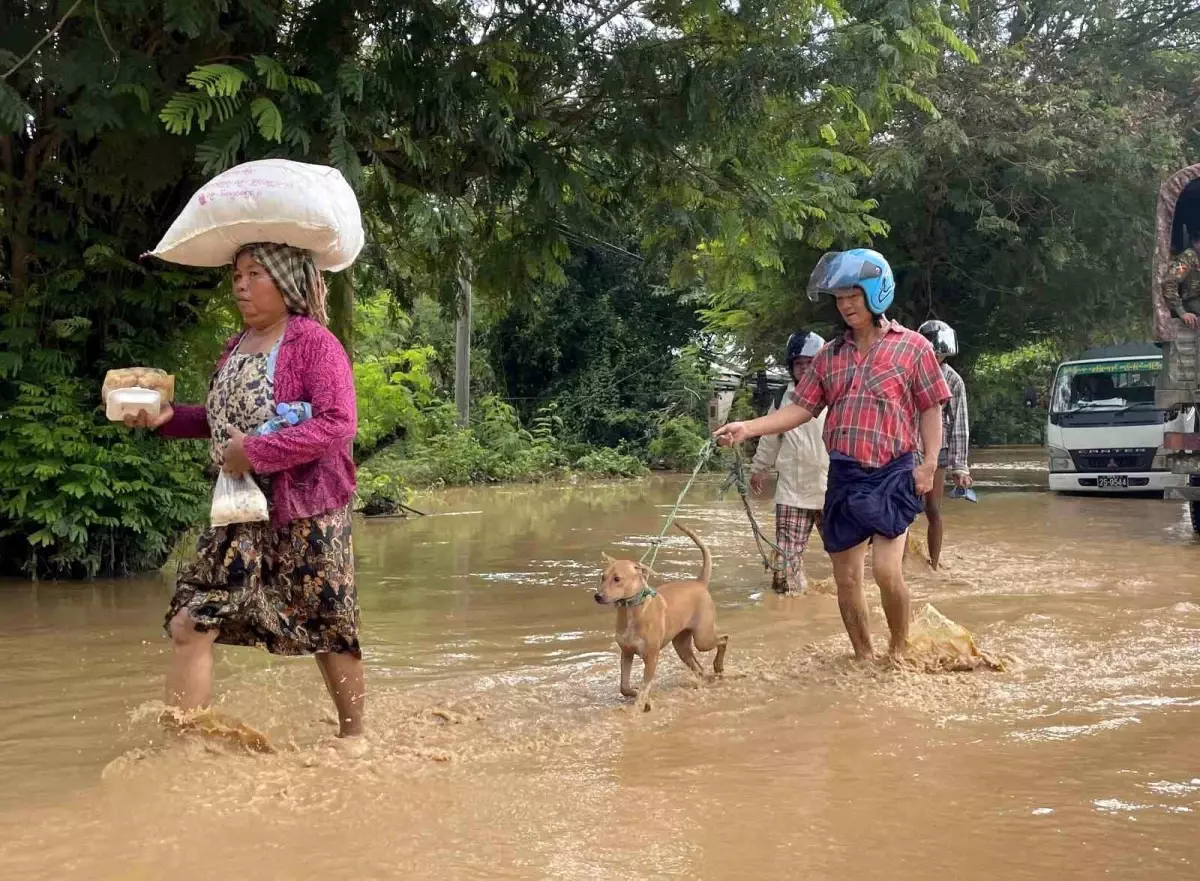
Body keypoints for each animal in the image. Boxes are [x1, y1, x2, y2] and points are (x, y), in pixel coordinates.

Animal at [592, 523, 724, 710]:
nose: (597, 596)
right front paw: (638, 694)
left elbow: (644, 688)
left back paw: (718, 666)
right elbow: (624, 687)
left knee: (724, 639)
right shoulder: (626, 652)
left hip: (702, 639)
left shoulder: (651, 657)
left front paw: (639, 706)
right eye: (602, 577)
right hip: (682, 646)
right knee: (699, 668)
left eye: (617, 579)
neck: (633, 611)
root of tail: (700, 583)